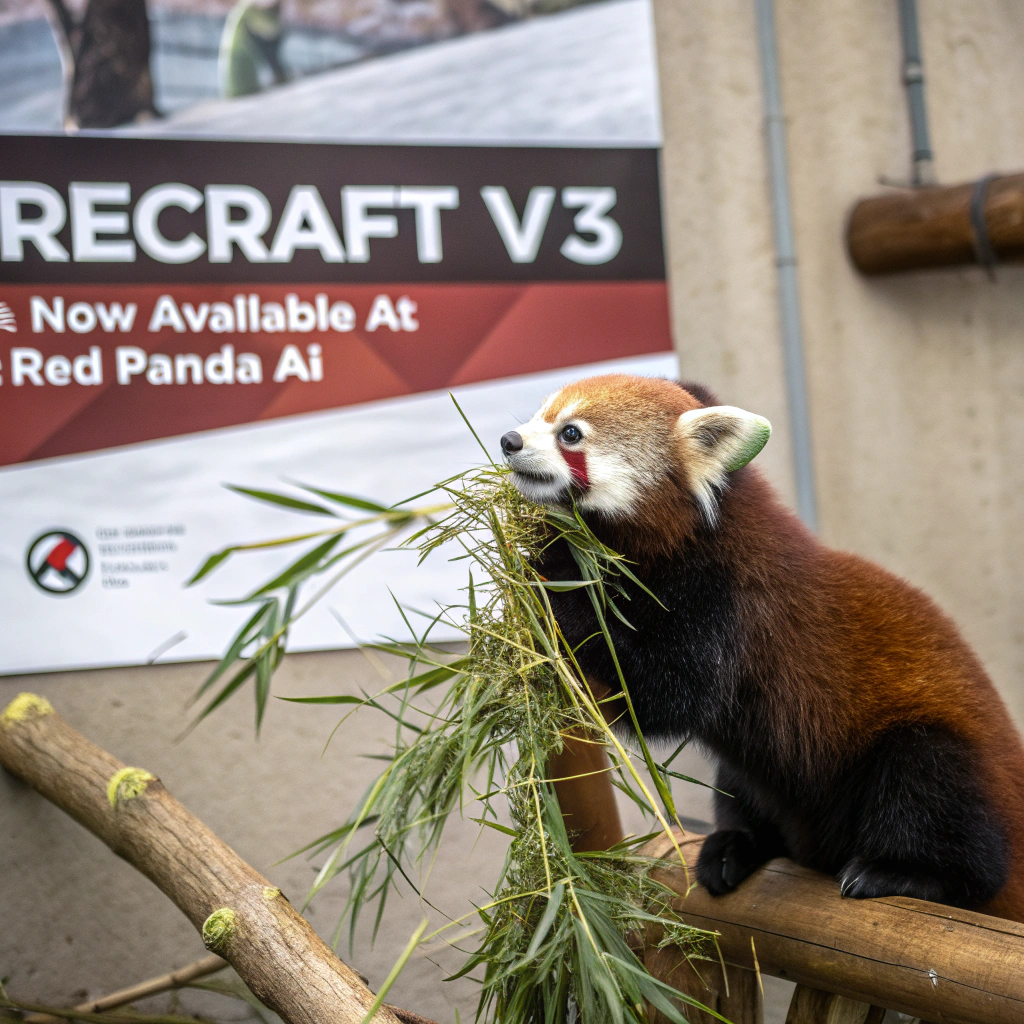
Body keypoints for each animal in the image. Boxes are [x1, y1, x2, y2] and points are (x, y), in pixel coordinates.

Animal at [499, 372, 1024, 921]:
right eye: (537, 415)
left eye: (570, 433)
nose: (509, 441)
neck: (687, 538)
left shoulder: (730, 606)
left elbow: (665, 696)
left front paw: (550, 570)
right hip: (754, 779)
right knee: (739, 784)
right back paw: (735, 845)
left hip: (937, 760)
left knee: (933, 789)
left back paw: (906, 873)